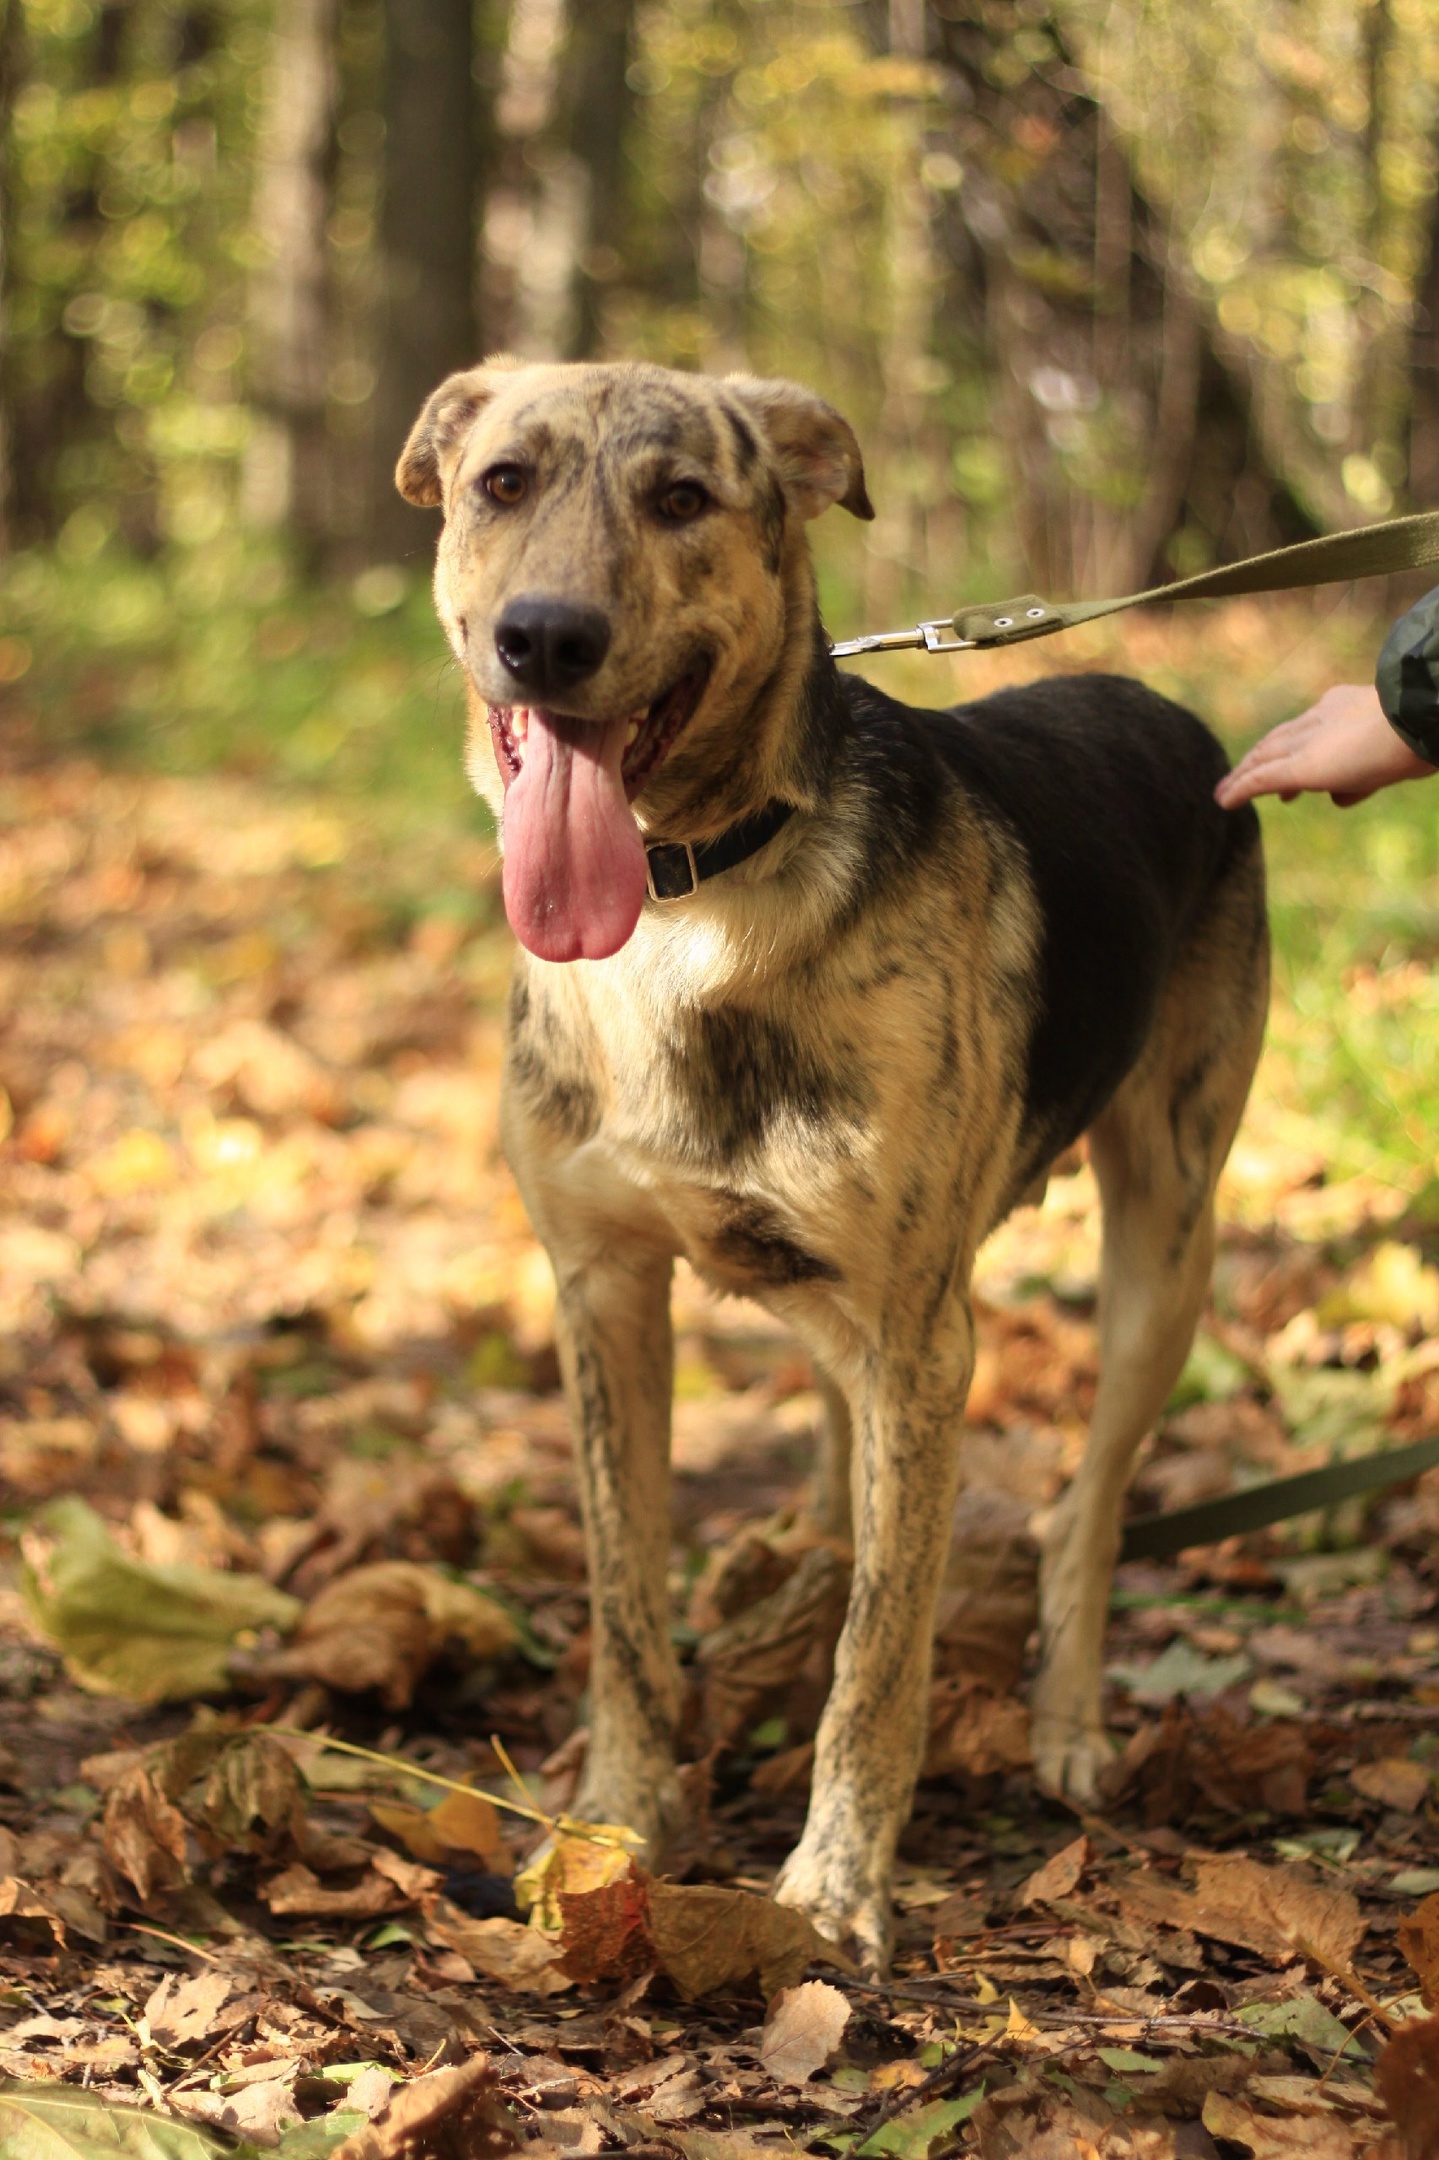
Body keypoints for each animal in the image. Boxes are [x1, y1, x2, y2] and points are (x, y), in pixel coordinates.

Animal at [397, 358, 1269, 1971]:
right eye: (501, 483)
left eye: (683, 497)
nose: (544, 638)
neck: (686, 899)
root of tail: (1166, 704)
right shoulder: (602, 1293)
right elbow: (623, 1596)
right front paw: (615, 1824)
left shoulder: (927, 1347)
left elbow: (882, 1649)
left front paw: (833, 1886)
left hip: (1162, 1246)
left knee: (1082, 1511)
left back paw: (1061, 1727)